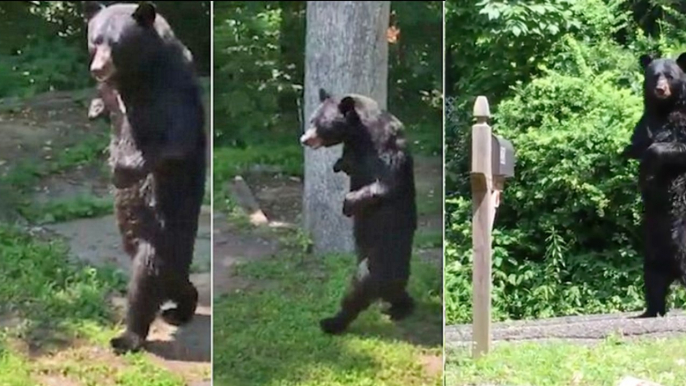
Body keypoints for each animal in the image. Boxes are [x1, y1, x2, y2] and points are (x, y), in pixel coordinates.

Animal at [84, 1, 206, 354]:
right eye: (95, 40)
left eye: (115, 43)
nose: (97, 68)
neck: (137, 74)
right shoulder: (116, 94)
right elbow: (107, 106)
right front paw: (95, 108)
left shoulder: (170, 89)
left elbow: (174, 139)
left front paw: (121, 171)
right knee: (173, 283)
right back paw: (179, 308)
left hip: (163, 233)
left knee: (146, 279)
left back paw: (128, 336)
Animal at [300, 89, 420, 334]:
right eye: (311, 120)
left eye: (320, 123)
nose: (304, 139)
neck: (361, 135)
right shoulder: (354, 149)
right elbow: (348, 164)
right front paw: (339, 164)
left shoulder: (387, 147)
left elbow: (386, 183)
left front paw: (348, 204)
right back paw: (396, 306)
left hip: (379, 260)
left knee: (357, 290)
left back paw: (332, 322)